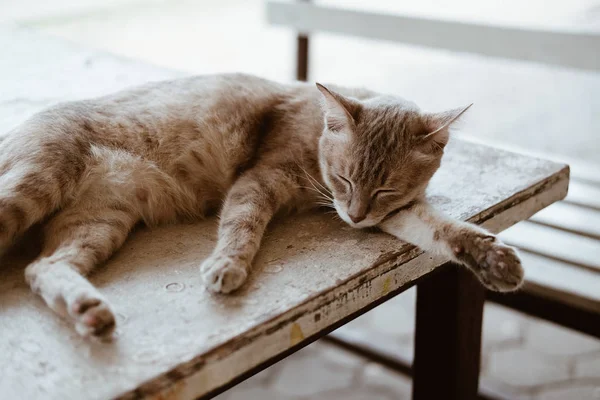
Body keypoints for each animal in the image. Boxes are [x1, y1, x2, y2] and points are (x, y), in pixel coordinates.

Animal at [0, 73, 524, 340]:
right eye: (345, 178)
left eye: (385, 191)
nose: (354, 218)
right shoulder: (259, 180)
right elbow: (243, 225)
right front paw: (227, 265)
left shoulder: (397, 213)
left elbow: (442, 228)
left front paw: (493, 258)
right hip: (32, 187)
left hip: (98, 223)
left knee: (41, 268)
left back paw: (86, 308)